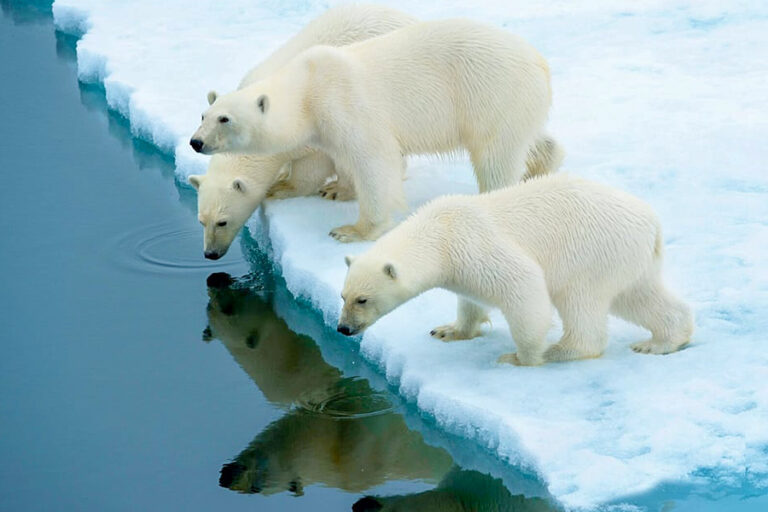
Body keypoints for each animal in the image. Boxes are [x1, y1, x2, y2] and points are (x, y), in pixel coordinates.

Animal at [189, 19, 561, 245]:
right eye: (204, 114)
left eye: (224, 119)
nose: (196, 141)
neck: (308, 86)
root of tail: (540, 62)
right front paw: (329, 190)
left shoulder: (345, 104)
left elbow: (374, 161)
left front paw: (352, 230)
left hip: (492, 93)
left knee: (495, 156)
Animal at [337, 174, 694, 366]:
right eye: (343, 296)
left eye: (362, 300)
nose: (343, 328)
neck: (441, 232)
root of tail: (652, 223)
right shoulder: (461, 265)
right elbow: (470, 299)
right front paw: (449, 330)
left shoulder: (473, 244)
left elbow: (522, 285)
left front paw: (521, 357)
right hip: (629, 257)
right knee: (638, 296)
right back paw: (661, 341)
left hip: (591, 252)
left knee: (581, 301)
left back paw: (559, 351)